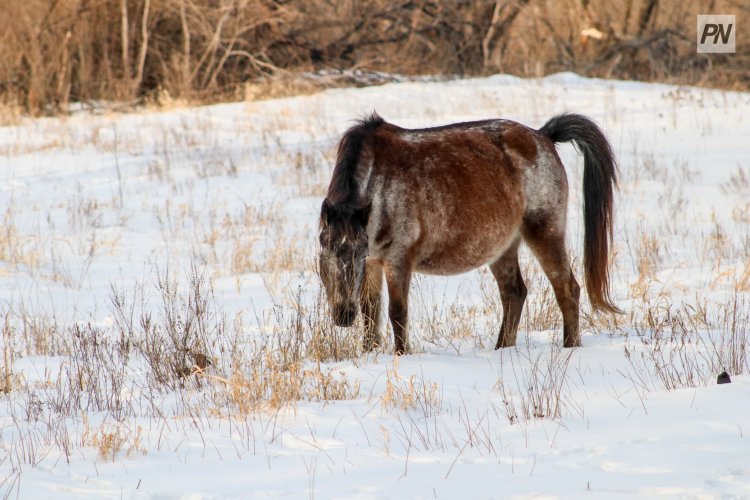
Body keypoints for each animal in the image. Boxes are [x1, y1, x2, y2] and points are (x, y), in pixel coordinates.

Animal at [320, 113, 620, 356]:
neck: (378, 183)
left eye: (357, 253)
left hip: (545, 231)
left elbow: (397, 312)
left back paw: (570, 347)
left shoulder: (397, 258)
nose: (343, 315)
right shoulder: (374, 262)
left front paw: (401, 356)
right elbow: (370, 312)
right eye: (325, 251)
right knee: (514, 293)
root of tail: (543, 135)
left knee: (567, 289)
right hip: (504, 247)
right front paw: (368, 353)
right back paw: (502, 349)